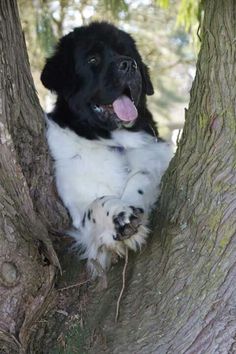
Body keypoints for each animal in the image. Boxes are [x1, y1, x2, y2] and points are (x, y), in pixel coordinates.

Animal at [41, 22, 172, 276]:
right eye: (93, 59)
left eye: (127, 53)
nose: (128, 64)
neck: (114, 140)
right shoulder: (78, 207)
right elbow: (96, 204)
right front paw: (120, 217)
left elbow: (141, 176)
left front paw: (133, 203)